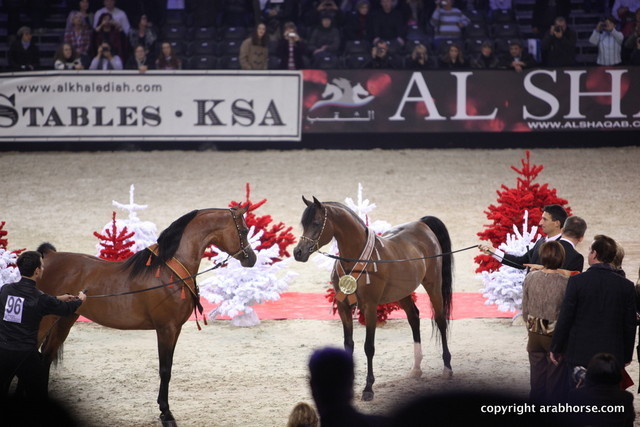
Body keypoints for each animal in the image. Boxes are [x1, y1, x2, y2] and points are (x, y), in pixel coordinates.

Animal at [35, 206, 257, 426]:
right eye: (245, 230)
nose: (252, 259)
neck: (169, 273)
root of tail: (49, 256)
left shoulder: (175, 329)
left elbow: (169, 367)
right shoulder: (165, 328)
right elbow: (164, 369)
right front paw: (166, 414)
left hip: (64, 320)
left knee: (46, 356)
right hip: (44, 321)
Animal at [293, 197, 453, 401]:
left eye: (316, 223)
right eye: (303, 224)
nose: (298, 252)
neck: (355, 258)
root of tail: (422, 224)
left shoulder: (369, 307)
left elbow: (369, 347)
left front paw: (368, 388)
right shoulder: (343, 306)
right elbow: (348, 344)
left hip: (433, 284)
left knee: (440, 319)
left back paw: (447, 368)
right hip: (403, 292)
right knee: (414, 317)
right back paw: (416, 369)